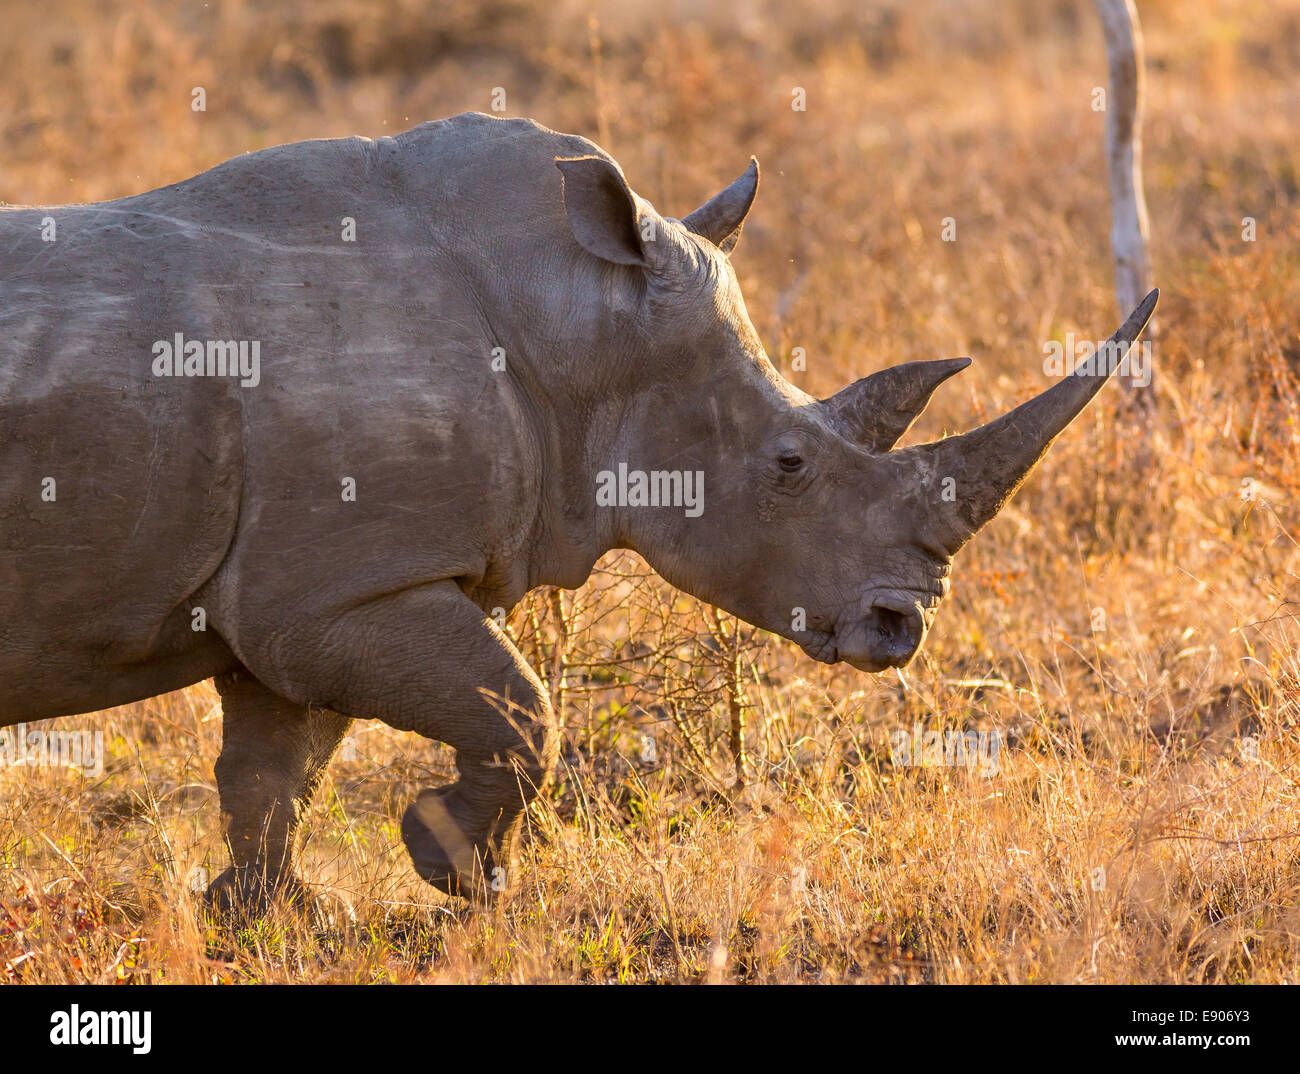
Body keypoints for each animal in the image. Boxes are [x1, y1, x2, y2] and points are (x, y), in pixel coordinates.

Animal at [0, 113, 1159, 899]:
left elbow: (274, 776)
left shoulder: (311, 590)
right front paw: (454, 870)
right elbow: (522, 710)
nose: (903, 625)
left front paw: (269, 922)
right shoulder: (334, 594)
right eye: (789, 466)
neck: (574, 323)